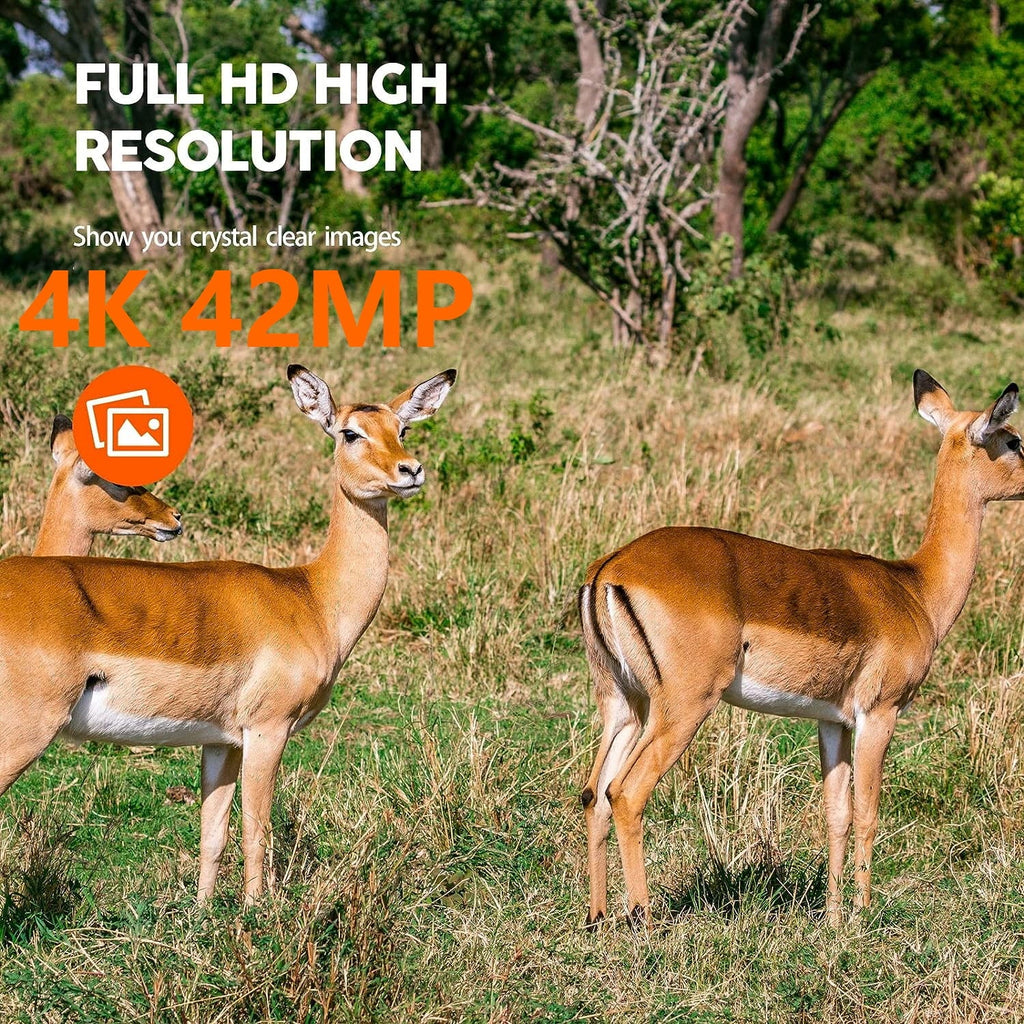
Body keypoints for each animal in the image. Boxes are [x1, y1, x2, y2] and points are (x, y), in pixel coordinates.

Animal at [578, 370, 1024, 929]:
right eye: (1014, 440)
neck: (915, 588)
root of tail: (611, 568)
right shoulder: (880, 714)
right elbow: (867, 812)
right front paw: (862, 915)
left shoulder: (832, 721)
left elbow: (836, 813)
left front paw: (832, 918)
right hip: (682, 707)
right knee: (626, 792)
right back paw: (643, 919)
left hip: (624, 705)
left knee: (594, 793)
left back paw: (597, 918)